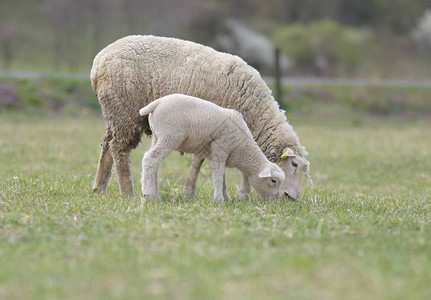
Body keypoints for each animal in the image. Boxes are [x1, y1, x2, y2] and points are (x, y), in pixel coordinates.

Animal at [139, 94, 286, 202]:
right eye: (273, 181)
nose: (277, 200)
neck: (243, 148)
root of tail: (157, 103)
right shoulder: (220, 148)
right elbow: (218, 175)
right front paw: (218, 200)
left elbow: (223, 178)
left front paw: (226, 199)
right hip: (170, 136)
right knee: (150, 159)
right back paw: (148, 194)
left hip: (157, 136)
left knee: (155, 163)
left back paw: (156, 196)